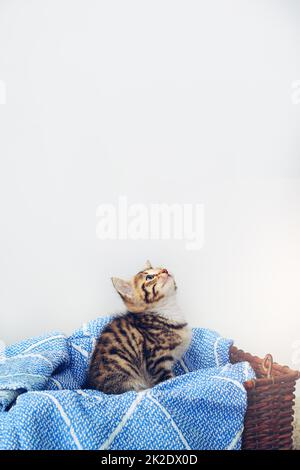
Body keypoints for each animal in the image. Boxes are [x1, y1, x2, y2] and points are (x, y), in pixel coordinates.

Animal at [86, 260, 191, 392]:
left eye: (161, 268)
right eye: (149, 277)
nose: (165, 270)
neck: (168, 309)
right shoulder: (157, 362)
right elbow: (167, 381)